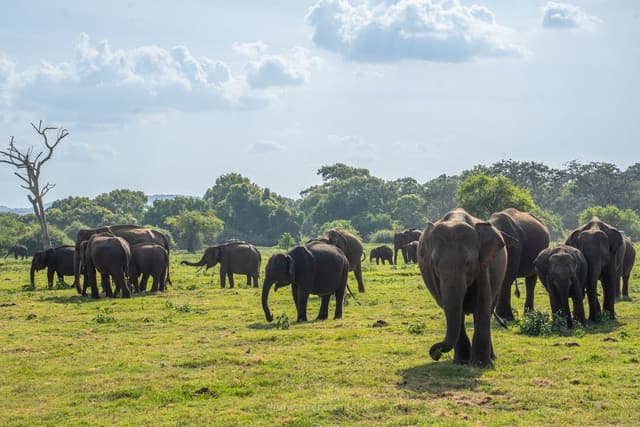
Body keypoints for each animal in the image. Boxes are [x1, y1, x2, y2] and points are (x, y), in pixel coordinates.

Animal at [417, 208, 515, 367]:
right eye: (434, 263)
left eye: (468, 263)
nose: (436, 353)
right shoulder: (434, 276)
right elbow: (451, 308)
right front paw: (461, 362)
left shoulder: (483, 266)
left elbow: (482, 305)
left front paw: (480, 365)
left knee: (488, 309)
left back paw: (491, 358)